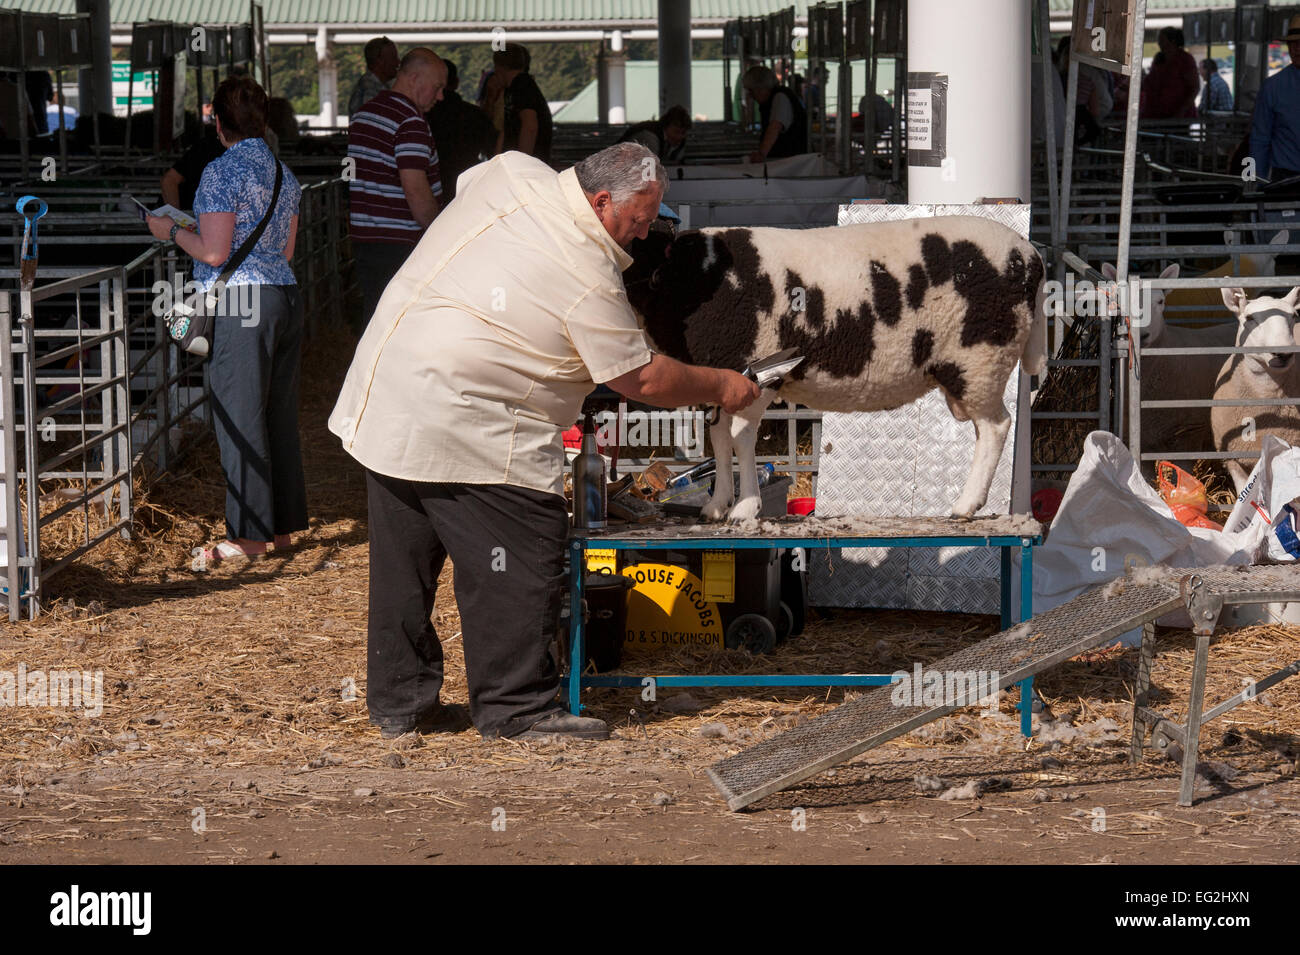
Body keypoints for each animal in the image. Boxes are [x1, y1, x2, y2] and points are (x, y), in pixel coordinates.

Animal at [624, 216, 1050, 522]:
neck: (687, 277)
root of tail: (1030, 256)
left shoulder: (759, 370)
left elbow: (741, 438)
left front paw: (745, 509)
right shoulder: (723, 378)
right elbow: (720, 438)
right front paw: (718, 506)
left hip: (980, 359)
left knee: (995, 427)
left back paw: (966, 504)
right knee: (987, 427)